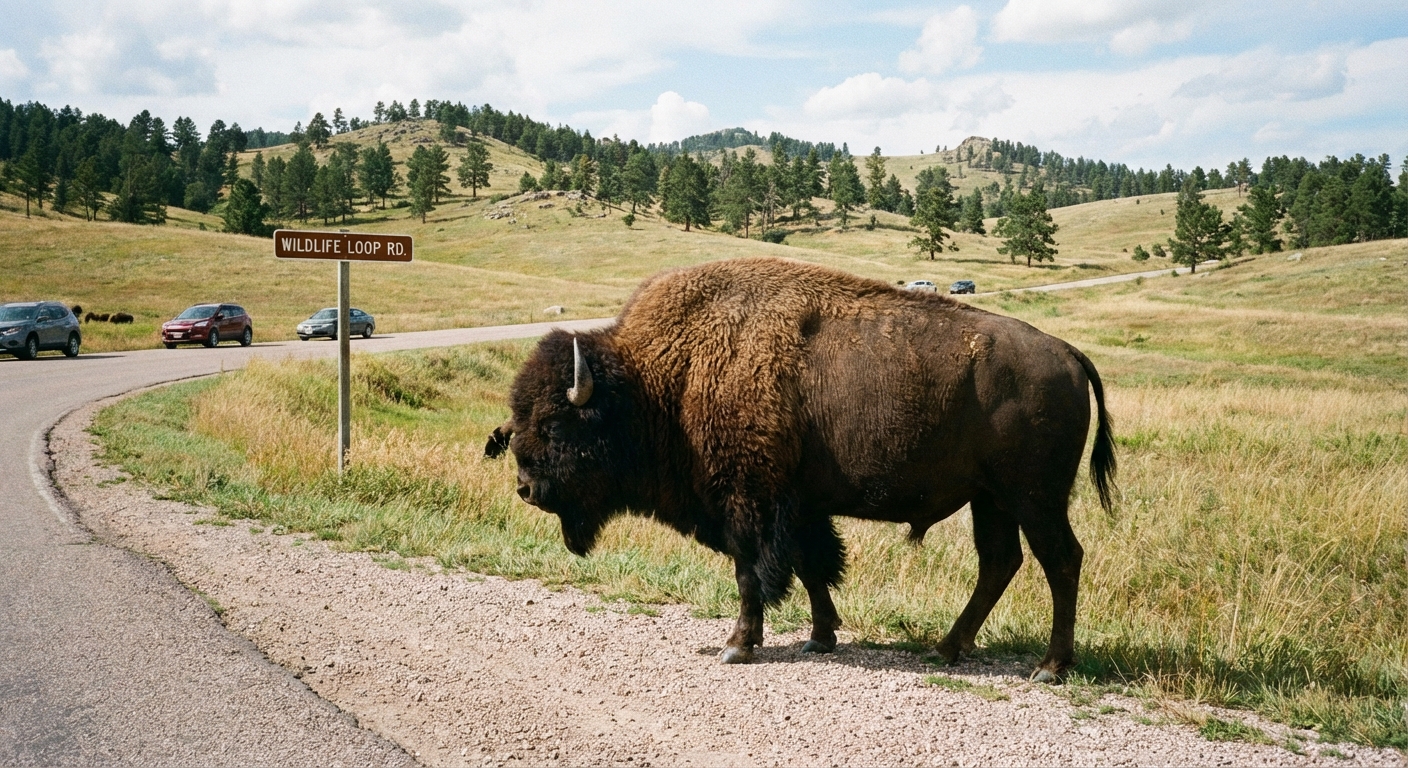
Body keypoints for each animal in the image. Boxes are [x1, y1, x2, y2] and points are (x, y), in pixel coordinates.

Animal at [486, 257, 1114, 681]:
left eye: (557, 425)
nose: (526, 489)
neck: (659, 380)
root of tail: (1067, 352)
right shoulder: (802, 506)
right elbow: (814, 568)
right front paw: (820, 637)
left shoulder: (748, 503)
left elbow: (752, 573)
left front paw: (738, 646)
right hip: (992, 499)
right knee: (999, 562)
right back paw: (947, 648)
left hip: (1034, 497)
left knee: (1061, 560)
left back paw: (1049, 667)